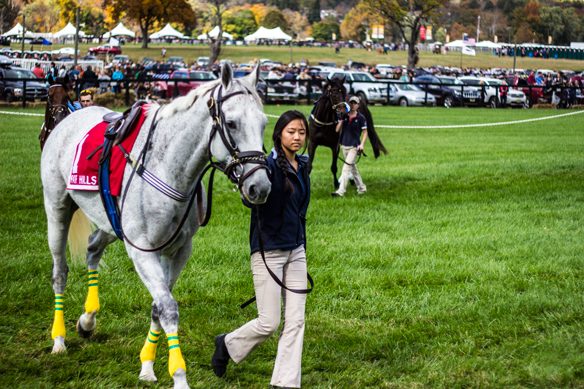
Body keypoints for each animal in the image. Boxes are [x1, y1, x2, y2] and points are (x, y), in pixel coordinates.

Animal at [40, 64, 272, 388]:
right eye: (231, 122)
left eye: (263, 123)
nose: (259, 186)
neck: (169, 169)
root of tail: (66, 119)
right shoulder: (142, 251)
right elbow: (167, 308)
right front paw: (179, 376)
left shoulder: (178, 250)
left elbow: (158, 306)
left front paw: (147, 366)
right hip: (58, 211)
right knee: (60, 273)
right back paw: (58, 339)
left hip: (111, 226)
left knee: (92, 249)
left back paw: (87, 320)